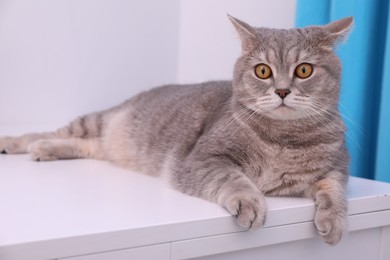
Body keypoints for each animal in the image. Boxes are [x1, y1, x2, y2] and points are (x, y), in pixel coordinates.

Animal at [0, 15, 354, 245]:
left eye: (304, 70)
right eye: (263, 71)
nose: (281, 90)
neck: (283, 138)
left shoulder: (337, 167)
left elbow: (334, 189)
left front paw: (334, 221)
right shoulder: (201, 159)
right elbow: (234, 180)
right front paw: (250, 202)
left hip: (104, 143)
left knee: (85, 145)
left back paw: (45, 150)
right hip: (97, 120)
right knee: (54, 132)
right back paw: (18, 143)